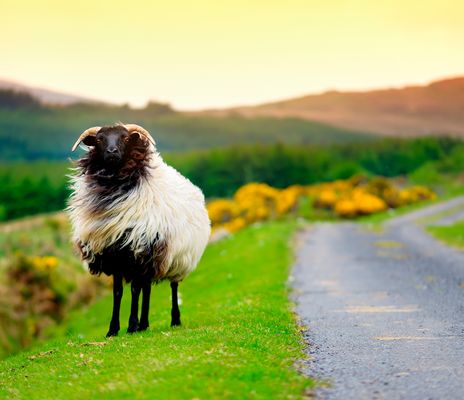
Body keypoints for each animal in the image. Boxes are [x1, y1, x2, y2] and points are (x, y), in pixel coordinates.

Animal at [66, 123, 211, 336]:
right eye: (99, 139)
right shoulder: (115, 254)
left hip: (177, 257)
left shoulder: (138, 250)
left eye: (126, 138)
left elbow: (134, 289)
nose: (112, 152)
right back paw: (145, 324)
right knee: (147, 288)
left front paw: (132, 325)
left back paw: (174, 320)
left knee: (172, 286)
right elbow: (118, 292)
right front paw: (113, 329)